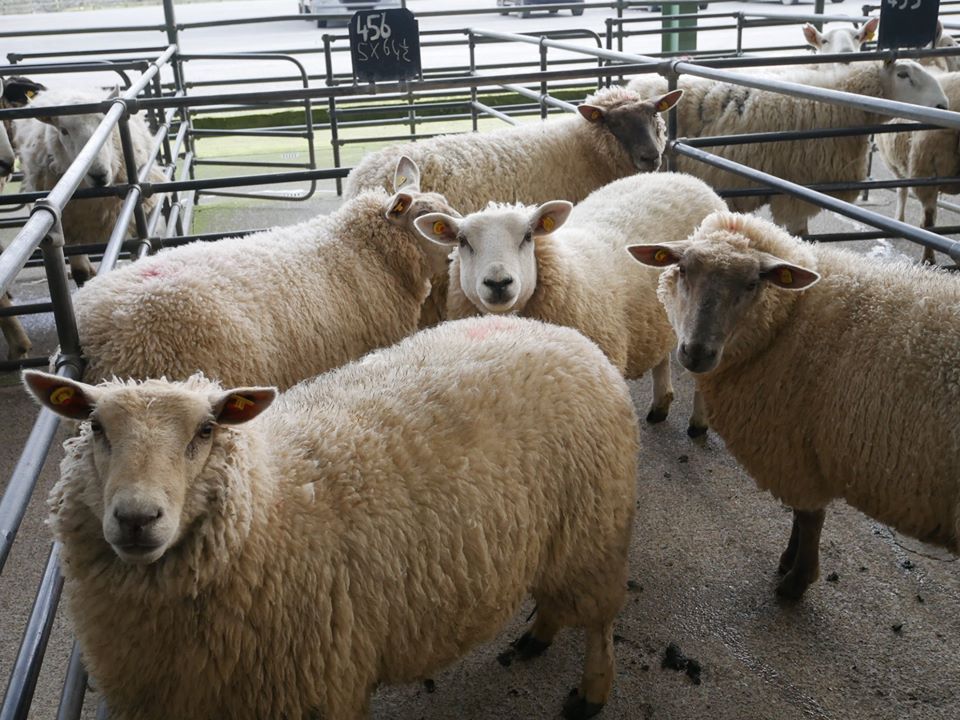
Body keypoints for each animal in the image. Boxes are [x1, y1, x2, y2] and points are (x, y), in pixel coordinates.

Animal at [23, 314, 639, 720]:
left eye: (206, 430)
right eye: (95, 427)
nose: (136, 517)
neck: (268, 503)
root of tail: (562, 332)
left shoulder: (313, 688)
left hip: (596, 526)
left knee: (599, 619)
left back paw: (591, 693)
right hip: (563, 535)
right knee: (558, 596)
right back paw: (537, 636)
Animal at [414, 171, 726, 436]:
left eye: (528, 236)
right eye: (462, 241)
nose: (498, 282)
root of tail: (683, 176)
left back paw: (698, 423)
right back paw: (660, 405)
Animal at [628, 211, 960, 600]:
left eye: (752, 283)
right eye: (682, 270)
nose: (696, 352)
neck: (791, 318)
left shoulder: (797, 448)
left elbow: (809, 516)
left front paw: (796, 580)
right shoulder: (799, 445)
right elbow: (802, 516)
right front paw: (789, 560)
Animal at [876, 72, 960, 264]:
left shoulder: (899, 167)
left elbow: (902, 192)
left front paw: (899, 220)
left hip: (924, 167)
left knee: (927, 221)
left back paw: (928, 258)